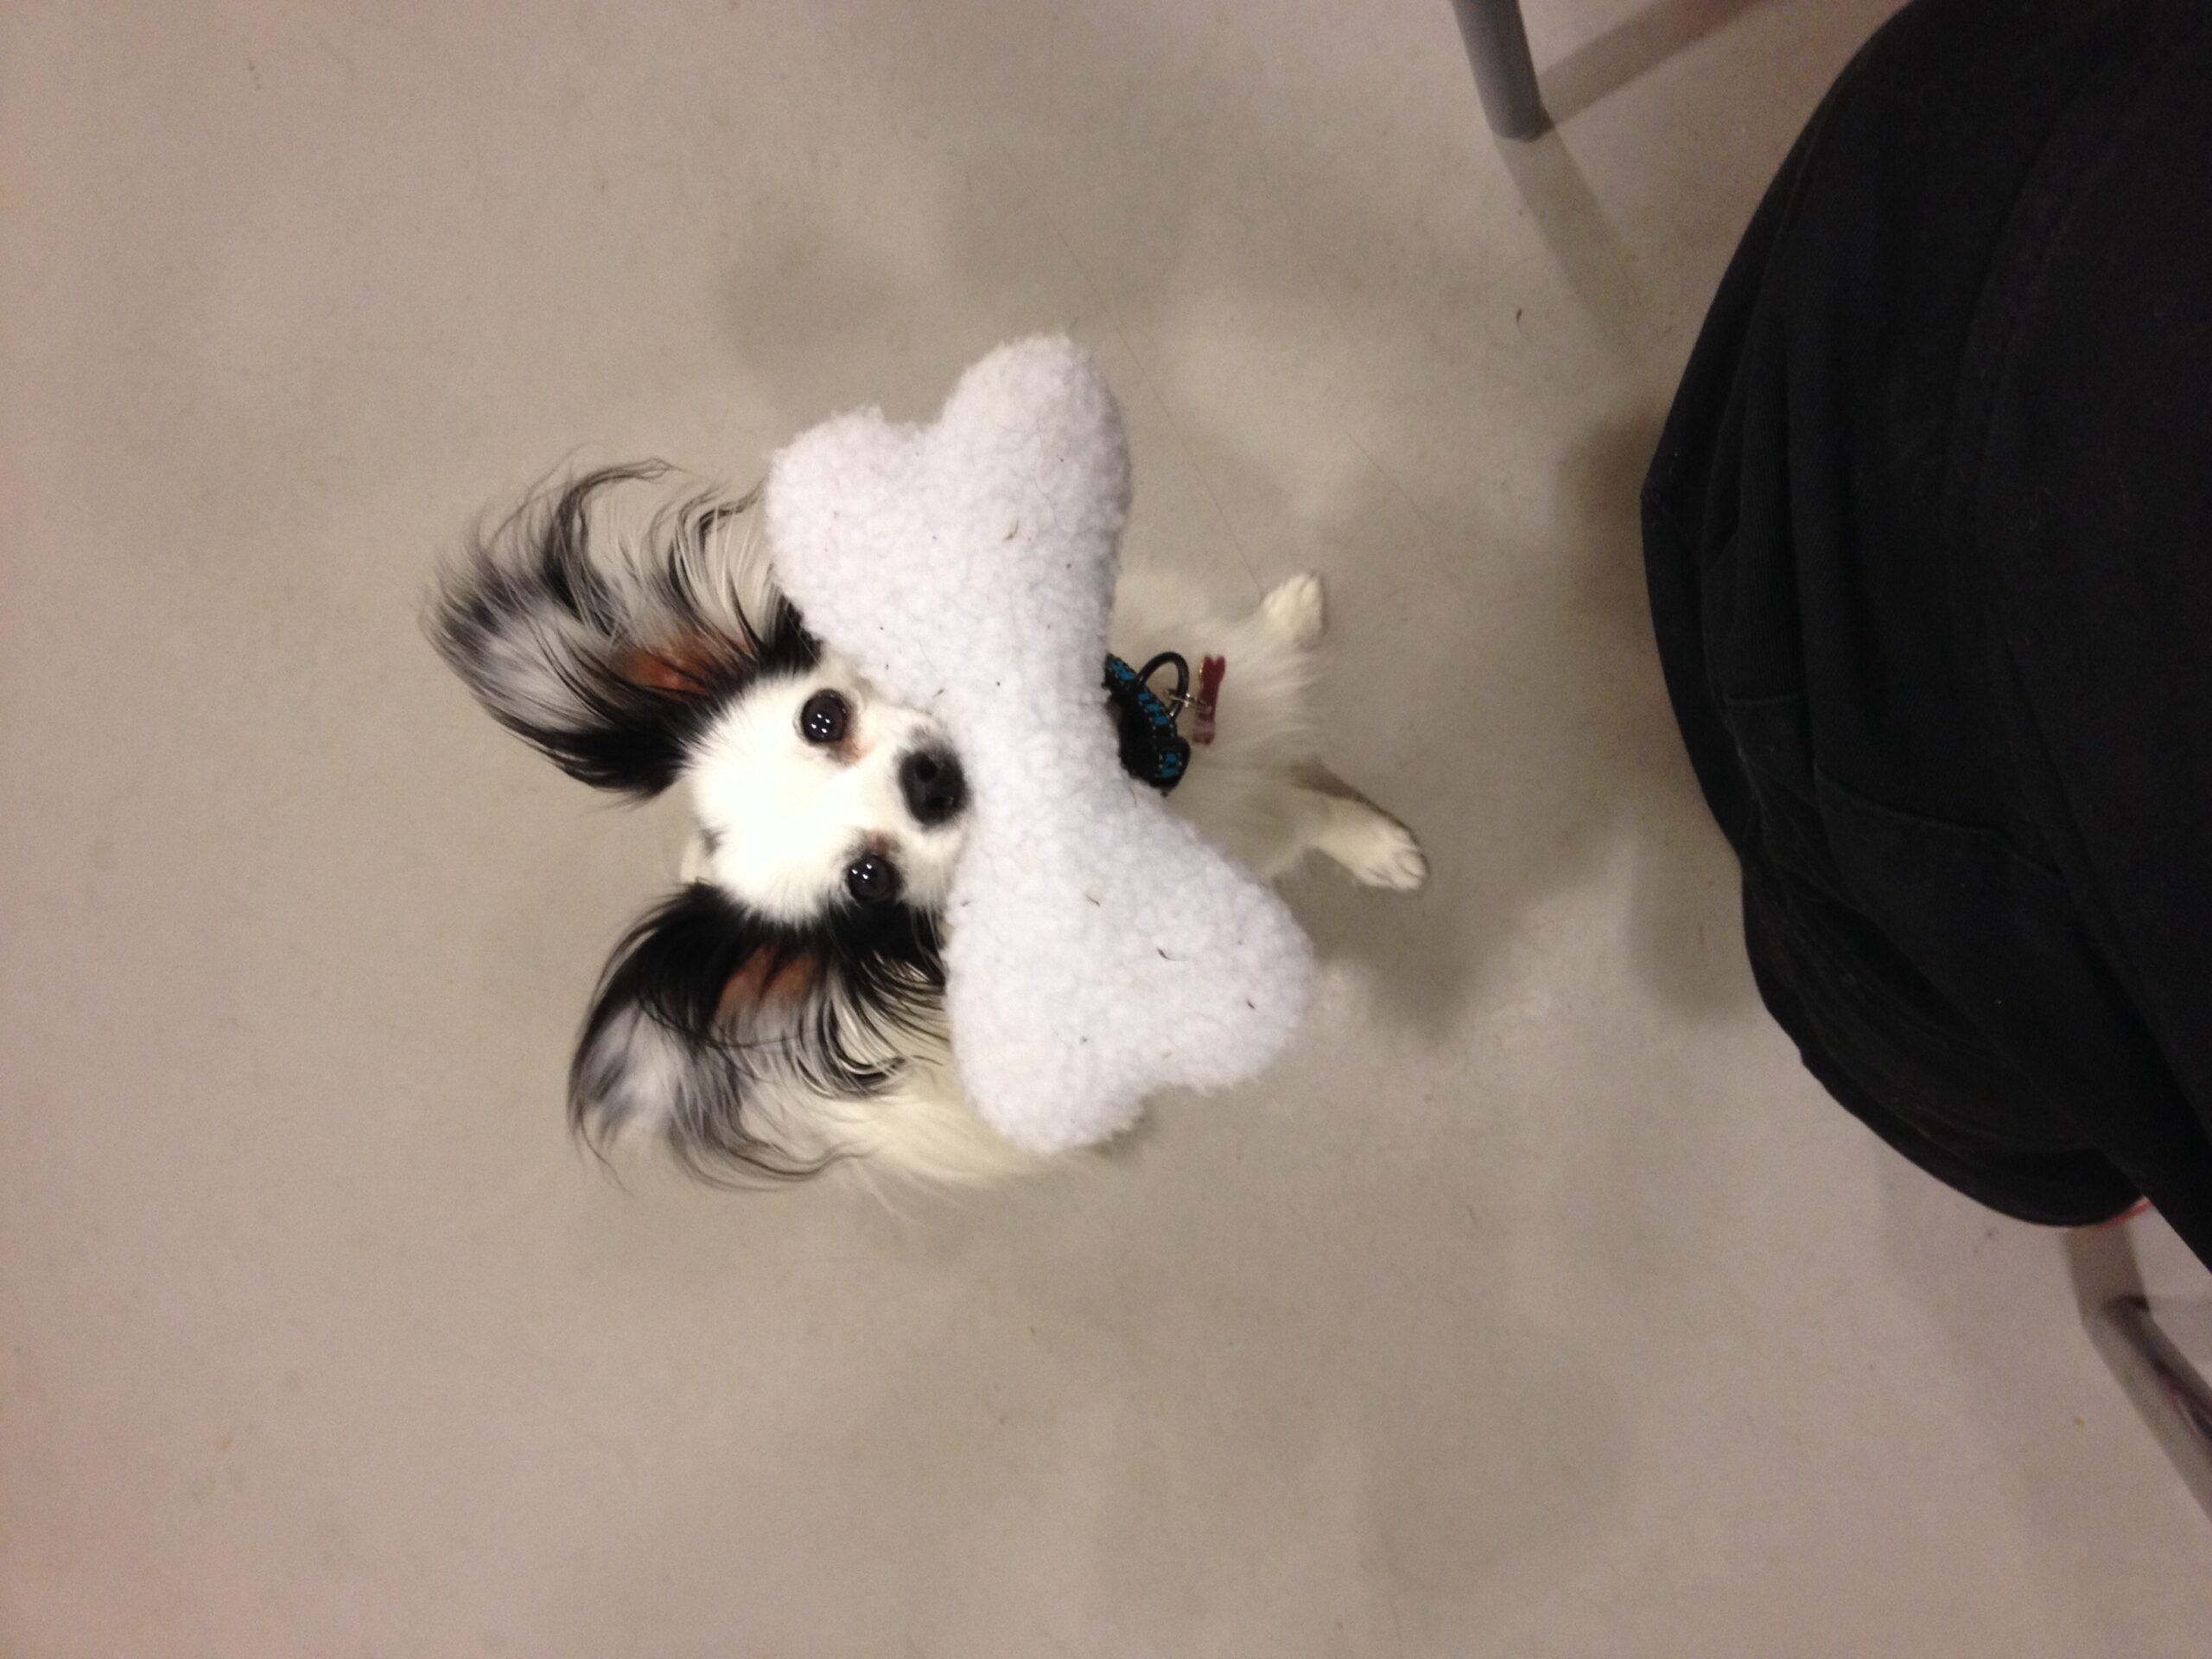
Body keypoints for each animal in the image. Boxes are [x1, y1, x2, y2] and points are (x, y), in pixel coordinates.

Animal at [430, 463, 1425, 1184]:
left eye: (823, 716)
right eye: (868, 881)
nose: (929, 781)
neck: (1141, 753)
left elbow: (1253, 657)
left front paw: (1295, 612)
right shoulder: (1254, 828)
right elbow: (1312, 813)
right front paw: (1384, 852)